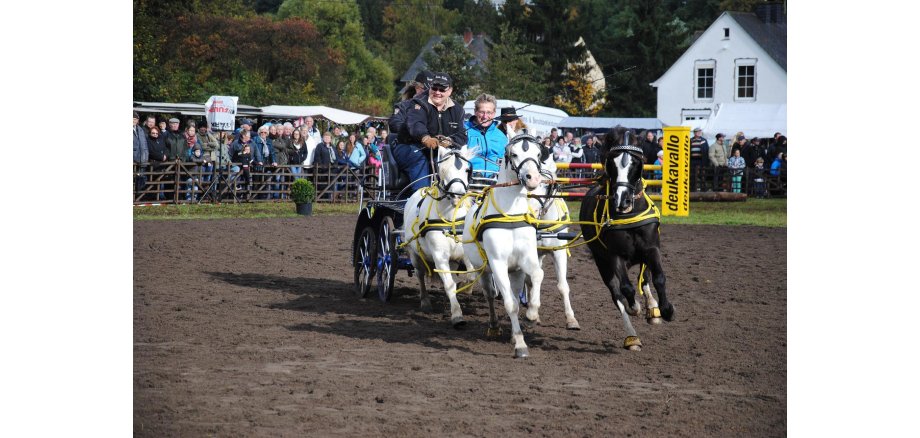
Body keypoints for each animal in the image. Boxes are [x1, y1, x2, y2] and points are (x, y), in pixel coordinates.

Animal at [402, 145, 478, 326]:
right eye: (443, 170)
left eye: (466, 169)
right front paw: (457, 315)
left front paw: (466, 290)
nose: (457, 195)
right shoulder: (439, 256)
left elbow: (471, 275)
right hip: (415, 255)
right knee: (420, 275)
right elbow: (449, 284)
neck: (450, 220)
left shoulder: (464, 254)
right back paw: (425, 302)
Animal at [464, 135, 544, 358]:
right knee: (491, 295)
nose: (533, 179)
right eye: (514, 154)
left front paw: (532, 314)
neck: (510, 215)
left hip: (515, 272)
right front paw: (520, 345)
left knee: (515, 293)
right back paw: (494, 326)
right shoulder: (498, 263)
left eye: (538, 154)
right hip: (484, 270)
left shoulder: (527, 259)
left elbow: (537, 275)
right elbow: (509, 304)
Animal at [528, 154, 580, 328]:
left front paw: (571, 319)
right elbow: (534, 277)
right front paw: (532, 311)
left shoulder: (559, 252)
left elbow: (563, 285)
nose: (530, 212)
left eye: (547, 185)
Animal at [584, 126, 676, 350]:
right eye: (612, 162)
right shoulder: (614, 256)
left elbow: (658, 278)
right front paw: (635, 307)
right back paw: (632, 337)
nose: (622, 200)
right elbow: (625, 289)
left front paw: (666, 309)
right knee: (616, 294)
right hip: (602, 263)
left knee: (645, 278)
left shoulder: (652, 249)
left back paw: (653, 309)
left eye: (635, 162)